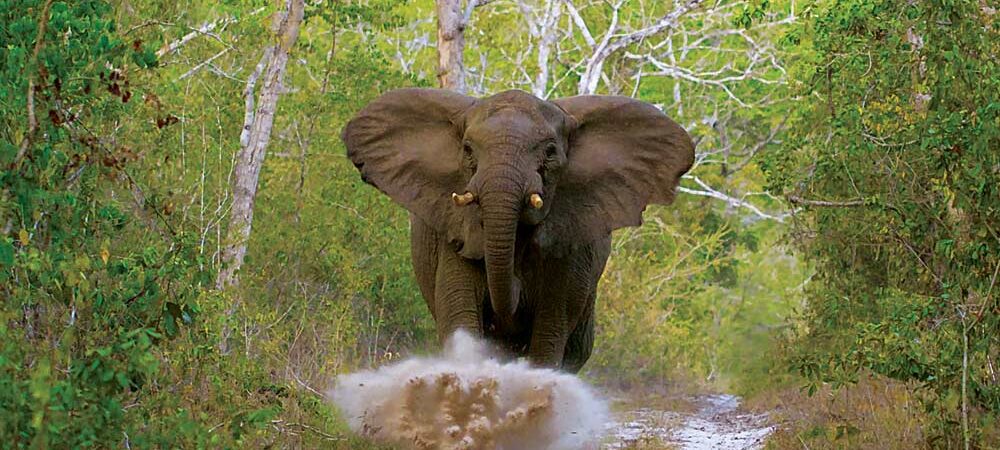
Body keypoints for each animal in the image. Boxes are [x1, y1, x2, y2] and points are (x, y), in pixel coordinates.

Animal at [341, 88, 694, 373]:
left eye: (550, 151)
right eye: (467, 149)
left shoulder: (569, 256)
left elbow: (549, 337)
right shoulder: (454, 239)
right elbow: (462, 323)